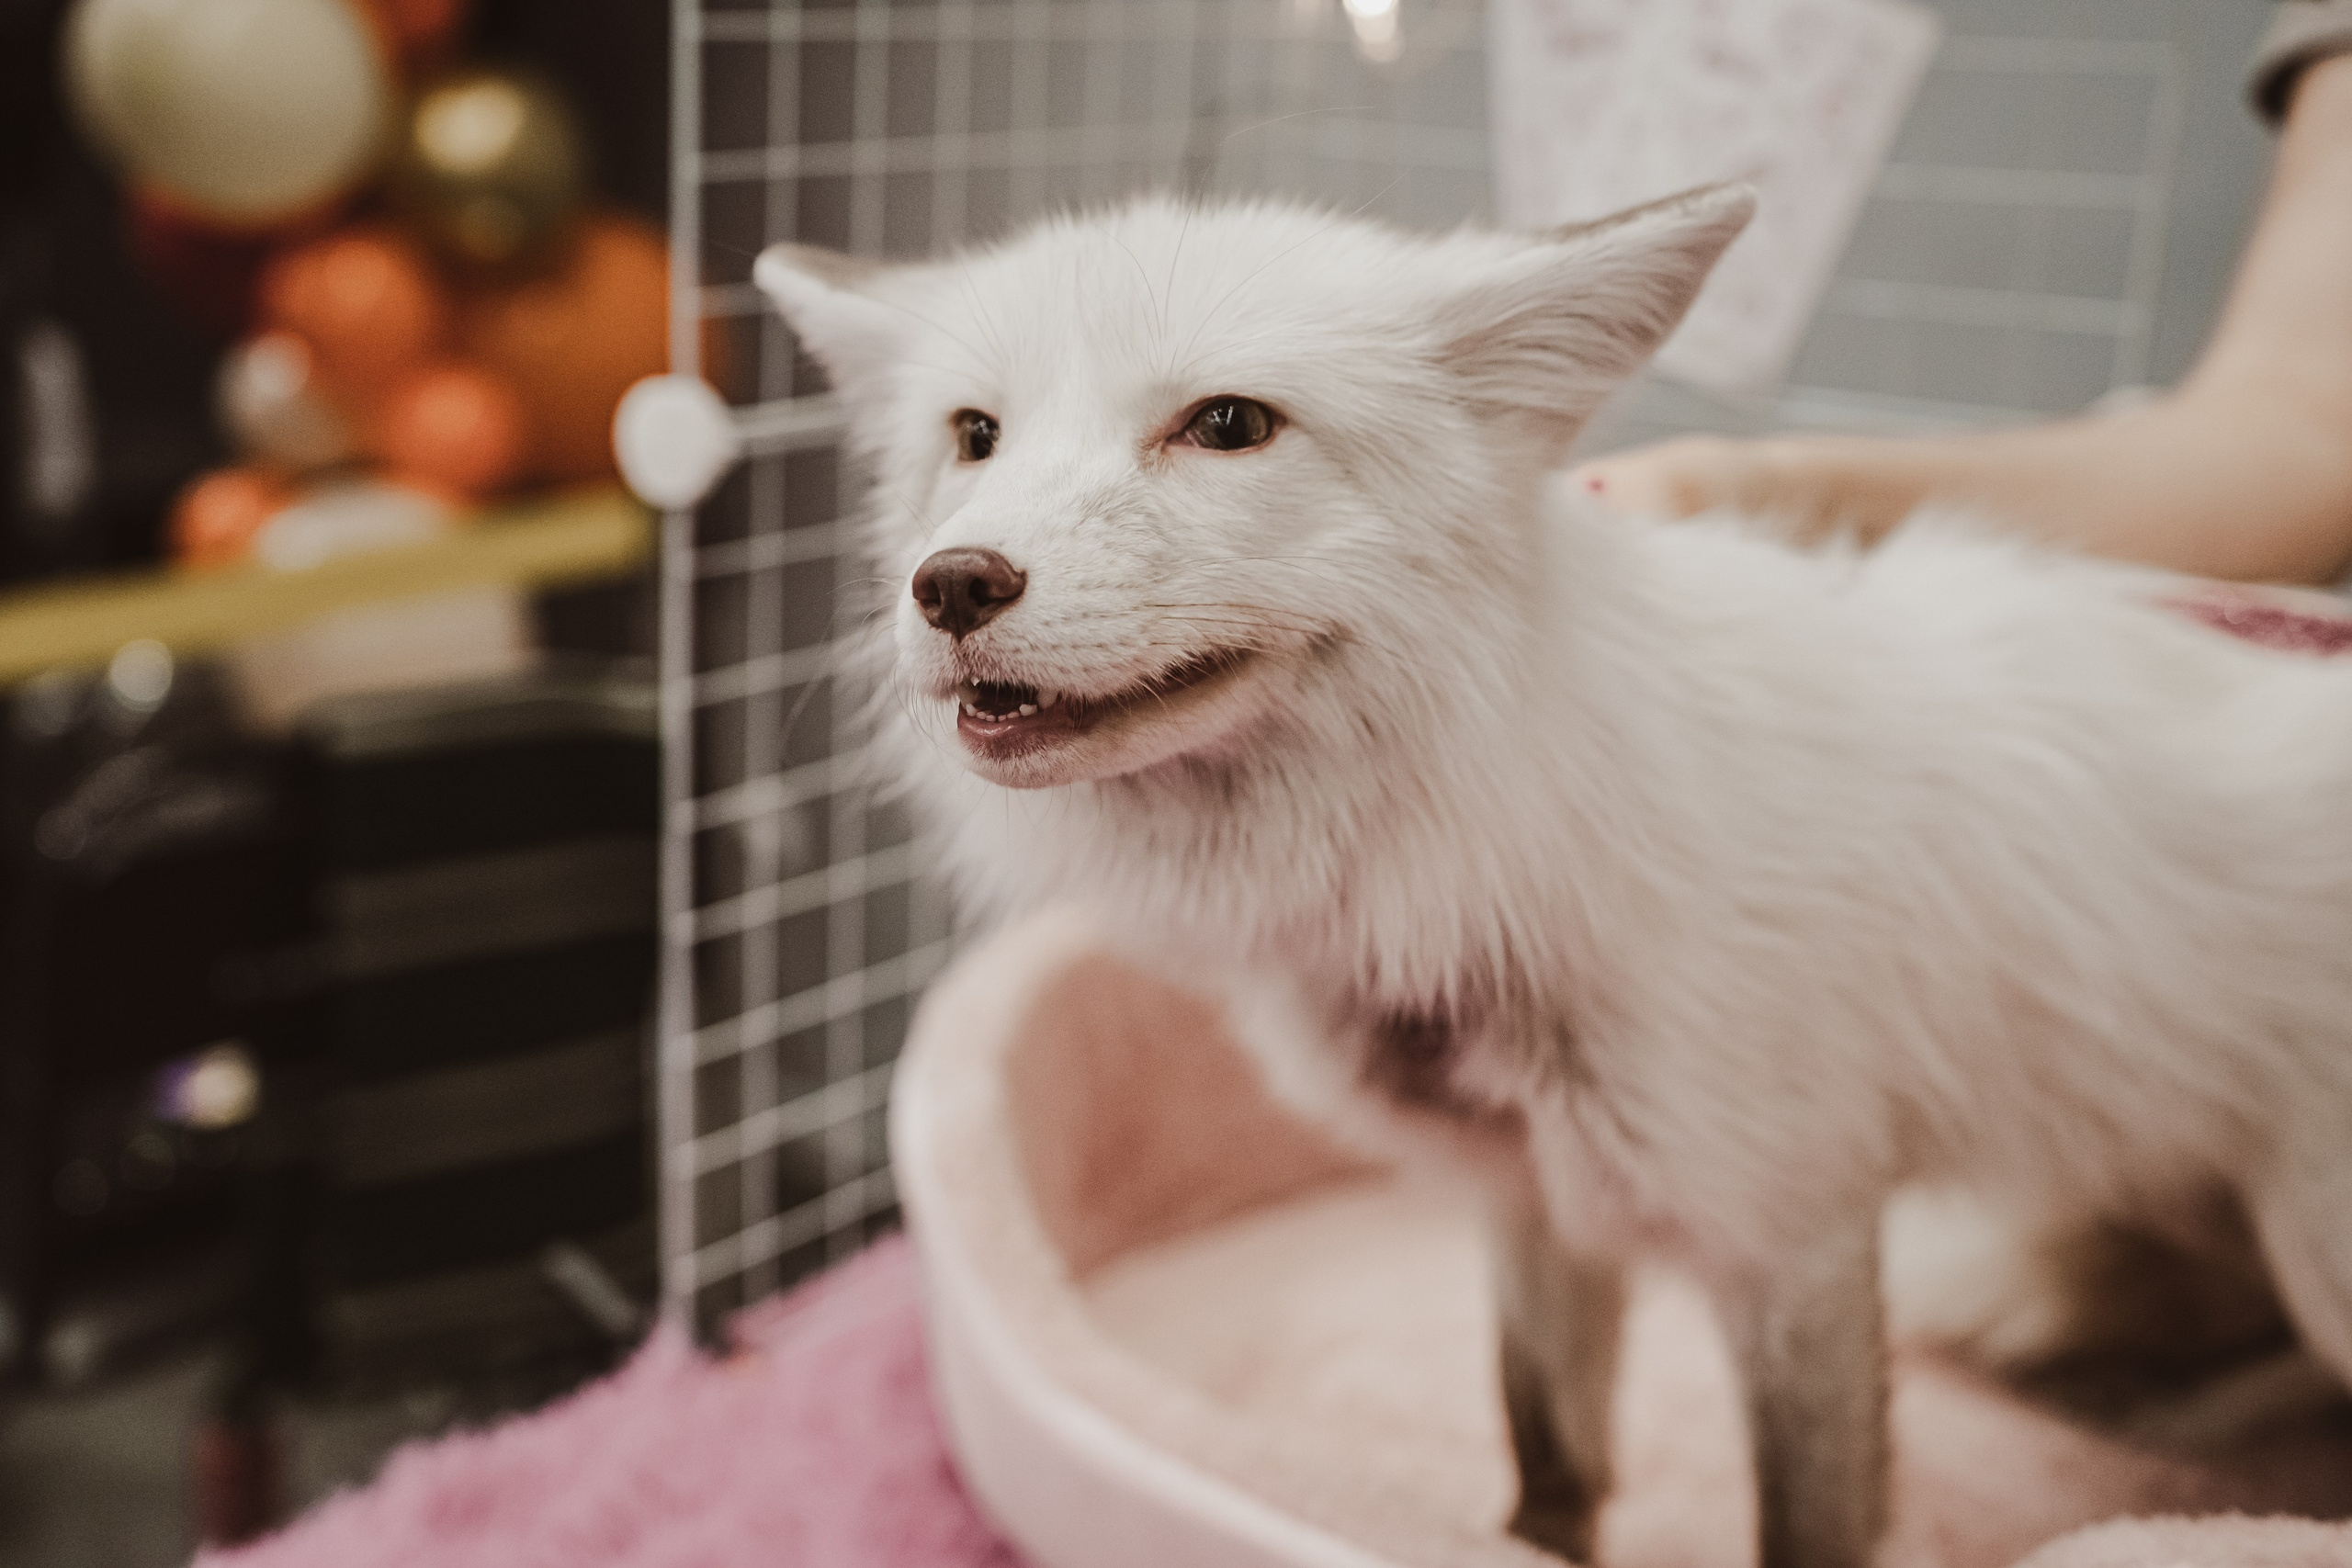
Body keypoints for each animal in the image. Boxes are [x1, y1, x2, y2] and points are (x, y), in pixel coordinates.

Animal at [756, 187, 2352, 1568]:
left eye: (1227, 425)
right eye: (975, 434)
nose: (953, 583)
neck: (1480, 856)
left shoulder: (1795, 1221)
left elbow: (1808, 1519)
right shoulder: (1533, 1190)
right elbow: (1548, 1446)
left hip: (2317, 1255)